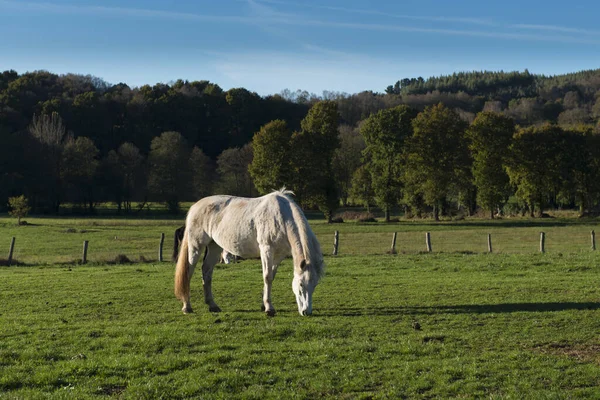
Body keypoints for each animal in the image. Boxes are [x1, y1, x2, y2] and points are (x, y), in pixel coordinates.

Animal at [173, 189, 324, 318]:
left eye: (315, 285)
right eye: (301, 285)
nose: (306, 312)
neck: (282, 218)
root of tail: (195, 206)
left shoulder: (278, 256)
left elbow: (272, 276)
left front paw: (264, 305)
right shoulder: (266, 250)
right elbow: (267, 277)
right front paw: (269, 309)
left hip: (214, 246)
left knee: (207, 272)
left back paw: (212, 305)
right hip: (196, 246)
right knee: (188, 273)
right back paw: (187, 307)